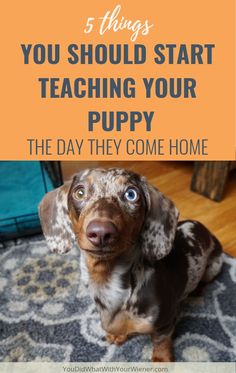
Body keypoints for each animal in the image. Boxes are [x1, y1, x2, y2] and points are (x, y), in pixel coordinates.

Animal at [39, 168, 223, 360]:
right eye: (79, 192)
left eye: (131, 194)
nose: (101, 232)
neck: (107, 282)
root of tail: (206, 230)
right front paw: (118, 335)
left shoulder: (165, 323)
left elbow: (161, 342)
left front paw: (161, 359)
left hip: (213, 267)